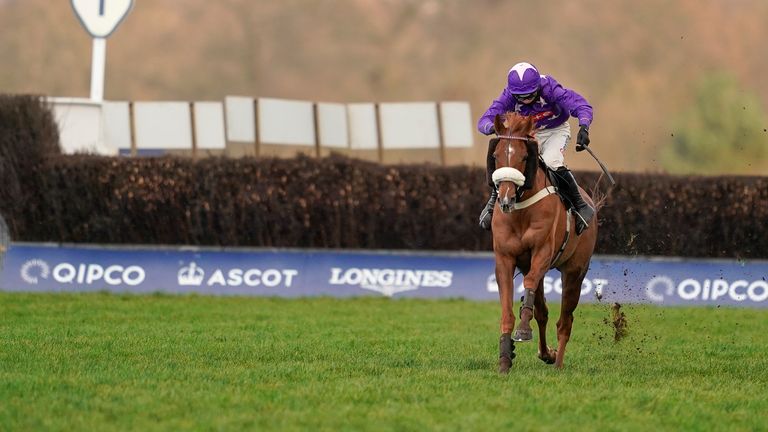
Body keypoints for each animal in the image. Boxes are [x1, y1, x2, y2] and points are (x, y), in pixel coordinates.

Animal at [492, 112, 600, 372]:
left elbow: (530, 287)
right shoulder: (505, 258)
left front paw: (522, 331)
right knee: (542, 312)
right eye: (496, 156)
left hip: (575, 272)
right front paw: (505, 357)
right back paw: (547, 354)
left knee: (565, 321)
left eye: (523, 156)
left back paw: (558, 362)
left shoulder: (542, 252)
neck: (521, 211)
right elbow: (509, 311)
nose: (506, 199)